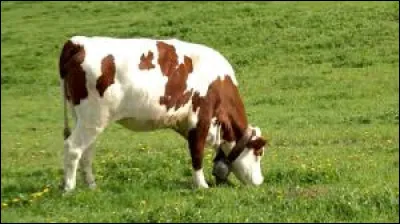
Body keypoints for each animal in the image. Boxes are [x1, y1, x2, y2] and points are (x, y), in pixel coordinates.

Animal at [57, 36, 268, 192]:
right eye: (259, 152)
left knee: (87, 151)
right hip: (92, 117)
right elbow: (197, 153)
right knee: (73, 147)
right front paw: (202, 186)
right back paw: (70, 188)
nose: (260, 181)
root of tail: (77, 43)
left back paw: (92, 185)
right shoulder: (200, 118)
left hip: (85, 118)